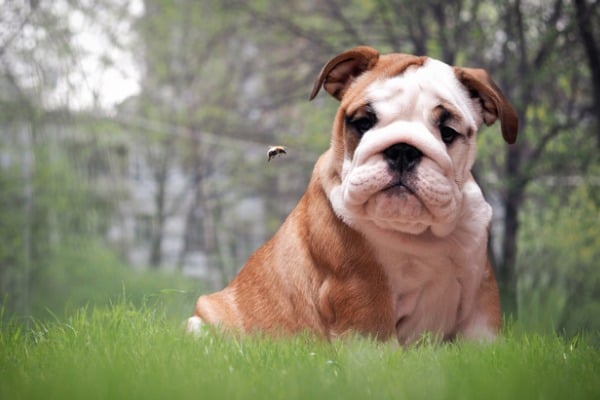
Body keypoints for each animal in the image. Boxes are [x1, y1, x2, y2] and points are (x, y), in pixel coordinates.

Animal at [186, 44, 516, 344]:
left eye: (447, 132)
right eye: (363, 122)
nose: (402, 150)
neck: (420, 234)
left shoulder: (480, 298)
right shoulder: (363, 292)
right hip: (201, 324)